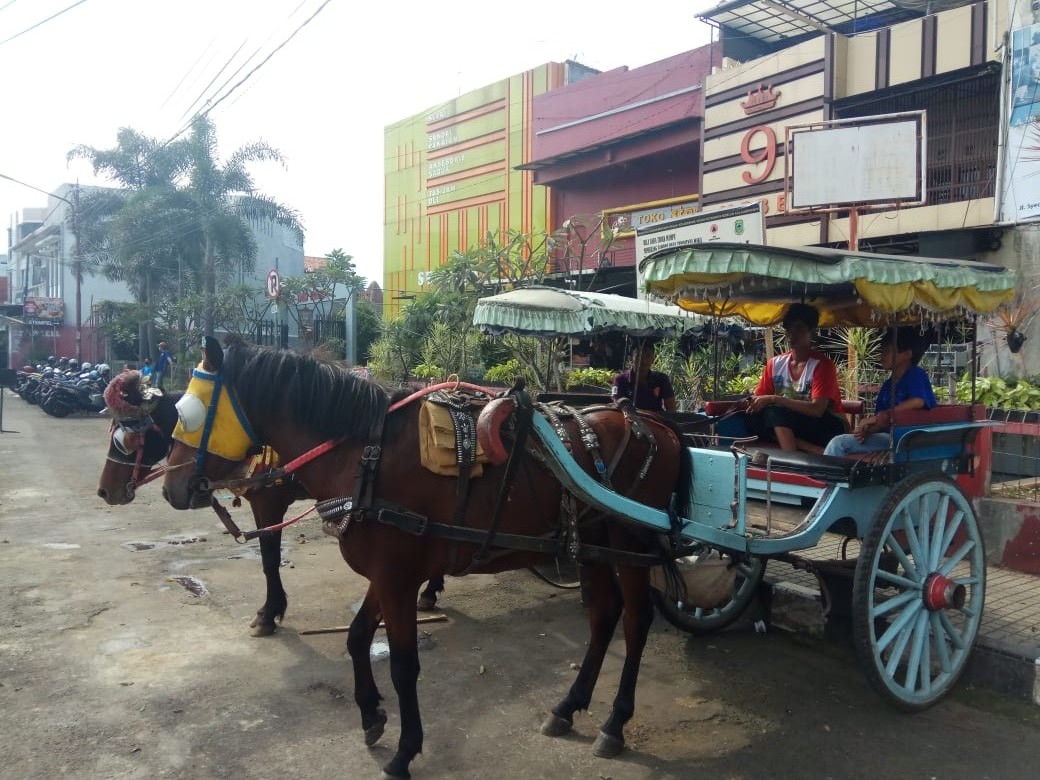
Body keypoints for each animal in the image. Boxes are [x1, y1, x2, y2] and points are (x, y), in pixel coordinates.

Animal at [162, 336, 682, 780]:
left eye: (188, 413)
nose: (171, 488)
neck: (365, 455)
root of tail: (658, 425)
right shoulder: (387, 572)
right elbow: (356, 638)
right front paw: (371, 714)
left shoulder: (396, 576)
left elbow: (403, 665)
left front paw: (405, 750)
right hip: (591, 540)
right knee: (604, 615)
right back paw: (568, 707)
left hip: (632, 543)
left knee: (635, 620)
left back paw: (614, 723)